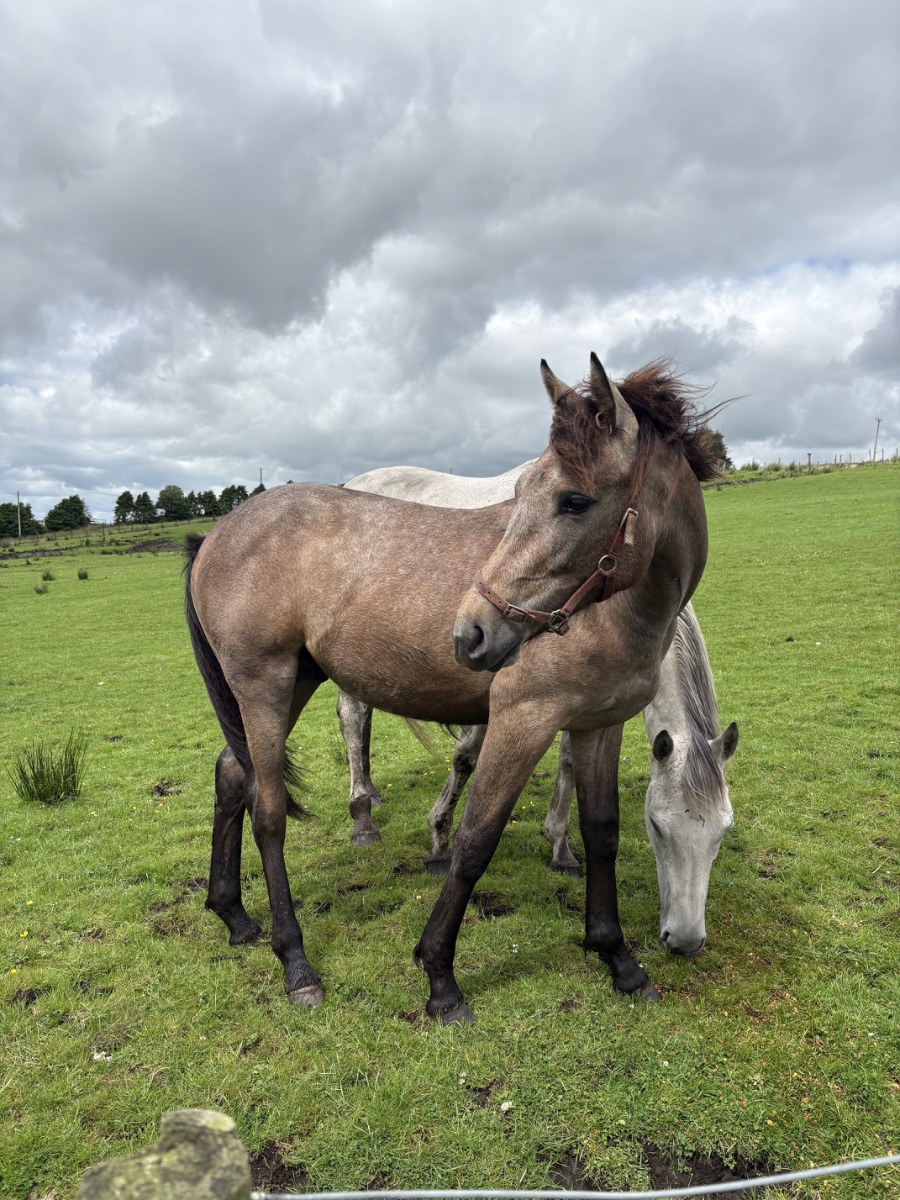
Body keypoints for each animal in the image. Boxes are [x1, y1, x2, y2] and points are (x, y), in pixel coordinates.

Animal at [339, 464, 738, 956]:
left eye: (723, 831)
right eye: (656, 826)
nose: (684, 941)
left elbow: (565, 761)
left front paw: (559, 845)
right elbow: (467, 761)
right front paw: (441, 837)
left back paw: (373, 794)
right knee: (353, 719)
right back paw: (363, 818)